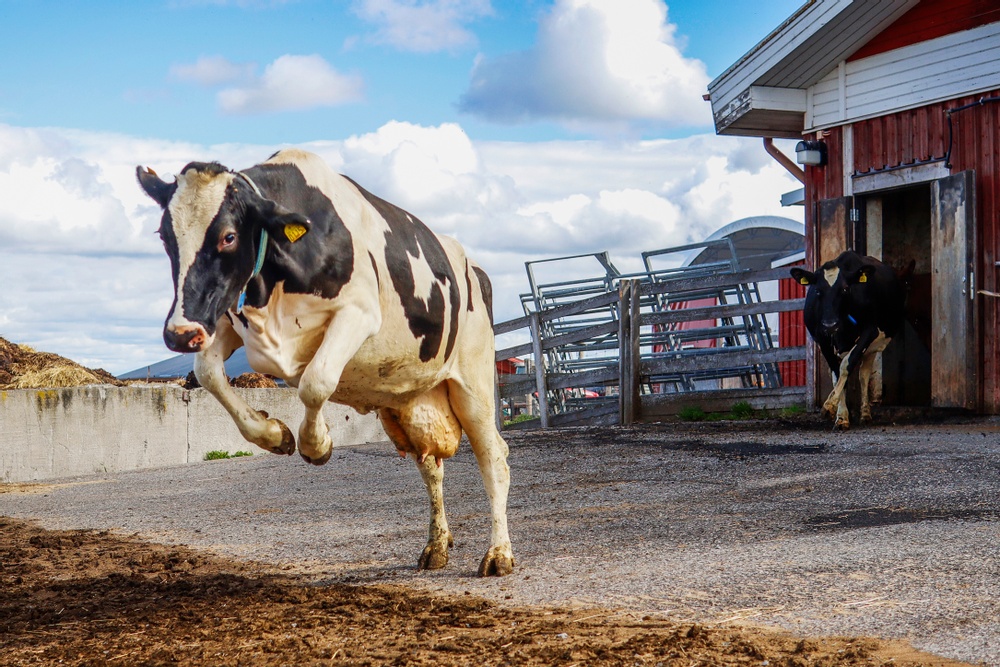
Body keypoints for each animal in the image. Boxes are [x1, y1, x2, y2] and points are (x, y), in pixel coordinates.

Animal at [139, 149, 516, 576]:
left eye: (229, 236)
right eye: (165, 237)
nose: (179, 333)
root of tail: (475, 268)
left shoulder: (358, 314)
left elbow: (315, 381)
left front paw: (316, 444)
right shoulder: (228, 318)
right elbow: (209, 375)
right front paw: (275, 434)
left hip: (474, 386)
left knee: (494, 461)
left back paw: (498, 553)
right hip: (411, 400)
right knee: (431, 467)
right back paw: (436, 546)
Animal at [792, 252, 912, 434]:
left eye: (845, 289)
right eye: (818, 291)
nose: (830, 324)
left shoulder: (870, 332)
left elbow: (847, 366)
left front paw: (829, 405)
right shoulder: (822, 340)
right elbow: (838, 375)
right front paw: (841, 417)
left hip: (872, 347)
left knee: (864, 375)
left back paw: (865, 414)